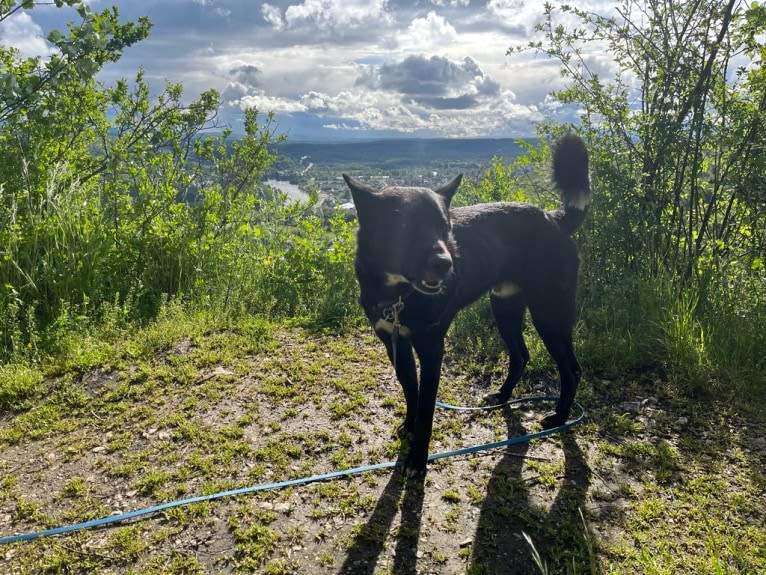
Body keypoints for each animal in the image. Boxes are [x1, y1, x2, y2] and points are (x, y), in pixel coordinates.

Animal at [344, 135, 592, 476]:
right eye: (405, 227)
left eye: (444, 226)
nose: (446, 263)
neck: (399, 295)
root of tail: (553, 219)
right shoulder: (395, 344)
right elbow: (411, 391)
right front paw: (409, 426)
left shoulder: (432, 349)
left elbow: (426, 407)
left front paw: (417, 460)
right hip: (505, 307)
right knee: (521, 355)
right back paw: (503, 395)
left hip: (549, 313)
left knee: (571, 369)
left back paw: (560, 416)